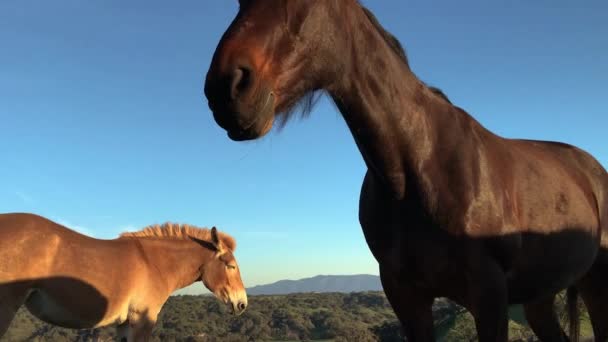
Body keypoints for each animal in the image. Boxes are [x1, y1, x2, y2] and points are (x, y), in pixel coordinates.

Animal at [204, 1, 608, 340]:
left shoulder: (490, 296)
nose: (225, 87)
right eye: (240, 2)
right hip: (540, 296)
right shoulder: (406, 296)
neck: (419, 167)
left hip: (594, 282)